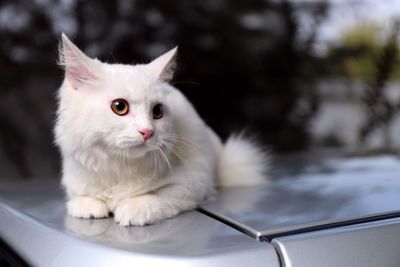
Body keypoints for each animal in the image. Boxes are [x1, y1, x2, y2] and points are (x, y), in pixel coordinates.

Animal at [55, 33, 268, 226]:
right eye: (119, 107)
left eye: (157, 111)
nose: (147, 132)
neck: (121, 166)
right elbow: (83, 196)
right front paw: (88, 205)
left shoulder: (196, 179)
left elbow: (158, 196)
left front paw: (133, 209)